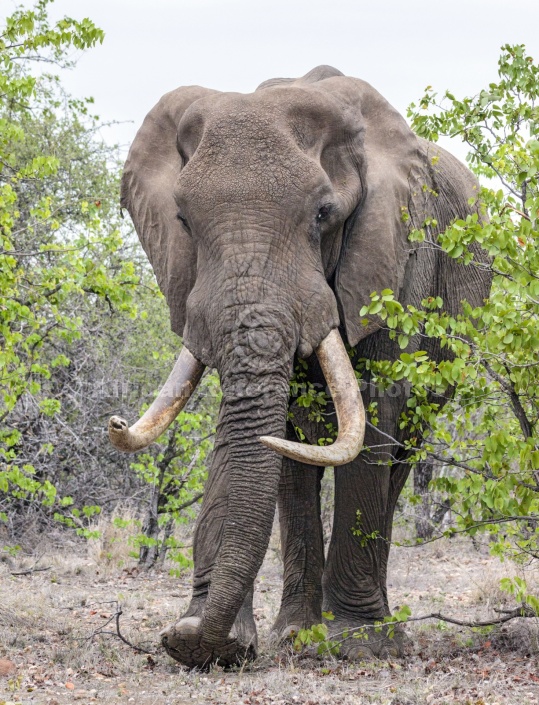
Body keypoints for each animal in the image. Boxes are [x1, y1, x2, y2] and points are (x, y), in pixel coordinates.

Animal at [107, 64, 492, 664]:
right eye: (183, 220)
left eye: (323, 215)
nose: (116, 421)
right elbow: (262, 428)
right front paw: (216, 641)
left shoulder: (395, 257)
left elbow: (375, 408)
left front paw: (355, 644)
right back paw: (304, 631)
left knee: (402, 451)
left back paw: (379, 629)